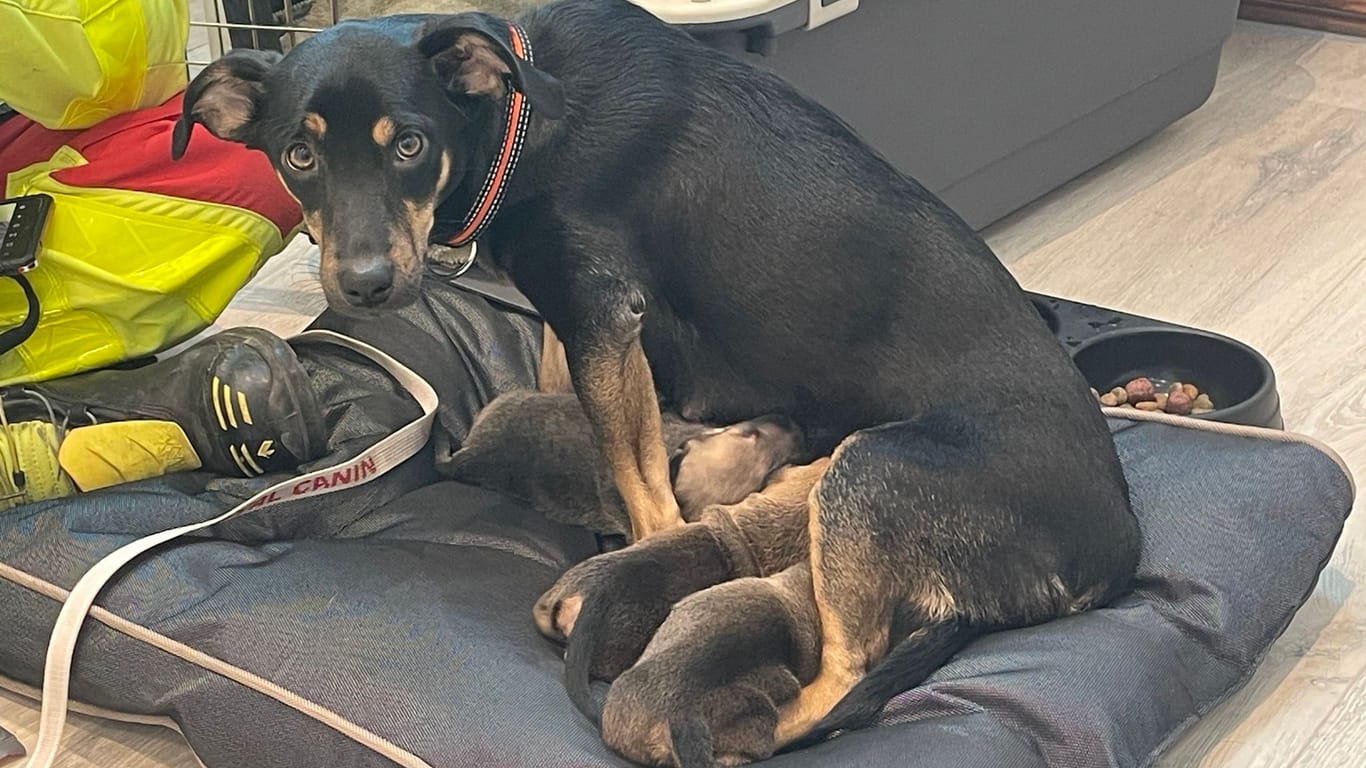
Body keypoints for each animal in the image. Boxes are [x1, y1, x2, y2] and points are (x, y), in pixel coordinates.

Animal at [176, 1, 1141, 759]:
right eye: (297, 158)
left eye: (410, 145)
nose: (366, 286)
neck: (521, 116)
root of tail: (1120, 556)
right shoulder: (580, 317)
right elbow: (571, 395)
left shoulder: (602, 312)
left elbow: (639, 477)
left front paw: (642, 534)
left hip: (874, 471)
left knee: (845, 681)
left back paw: (757, 721)